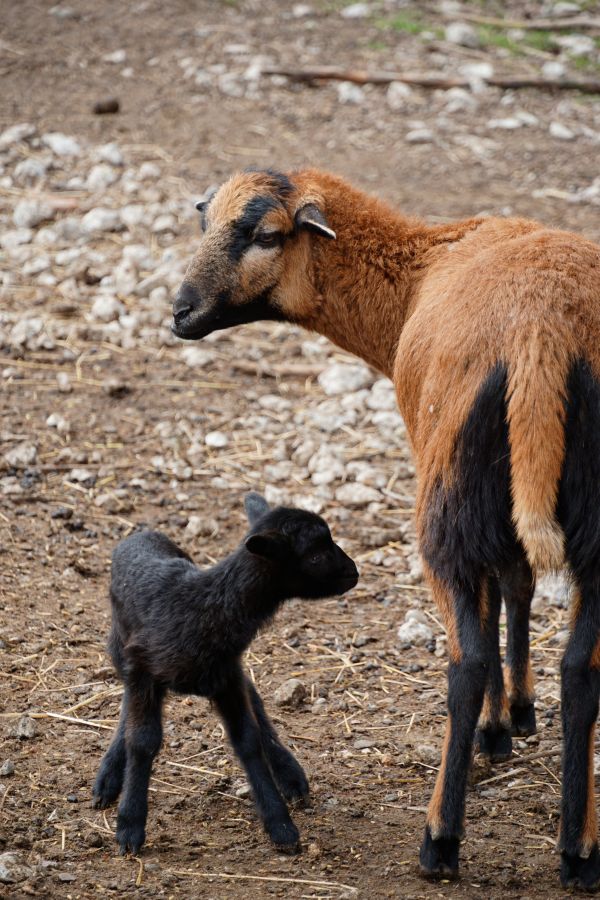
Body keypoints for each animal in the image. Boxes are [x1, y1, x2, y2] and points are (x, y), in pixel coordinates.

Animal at [93, 492, 358, 855]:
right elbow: (142, 741)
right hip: (120, 647)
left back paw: (289, 772)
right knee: (127, 711)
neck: (206, 605)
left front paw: (280, 825)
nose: (354, 571)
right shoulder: (144, 671)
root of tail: (143, 533)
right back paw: (108, 778)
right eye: (316, 556)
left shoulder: (226, 677)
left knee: (254, 698)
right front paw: (129, 826)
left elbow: (248, 739)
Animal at [171, 167, 600, 891]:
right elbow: (517, 583)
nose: (179, 310)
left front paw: (496, 729)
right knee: (582, 673)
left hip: (447, 499)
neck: (421, 269)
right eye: (206, 222)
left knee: (465, 662)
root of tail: (543, 338)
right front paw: (518, 713)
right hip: (595, 525)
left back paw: (440, 840)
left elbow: (493, 607)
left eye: (266, 235)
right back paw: (580, 851)